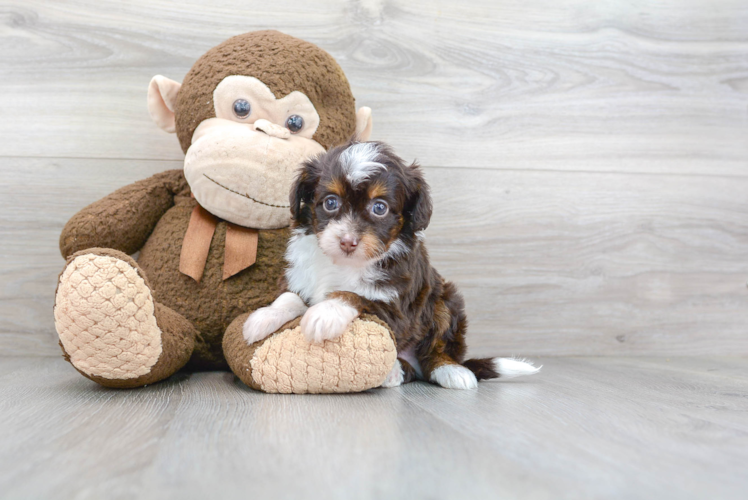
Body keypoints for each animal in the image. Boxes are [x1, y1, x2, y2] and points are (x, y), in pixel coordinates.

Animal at [244, 142, 536, 390]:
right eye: (330, 202)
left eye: (380, 208)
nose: (347, 241)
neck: (344, 264)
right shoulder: (299, 276)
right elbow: (289, 297)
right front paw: (264, 316)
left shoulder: (396, 306)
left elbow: (353, 295)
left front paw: (324, 314)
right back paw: (395, 371)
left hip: (446, 301)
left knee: (436, 352)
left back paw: (452, 371)